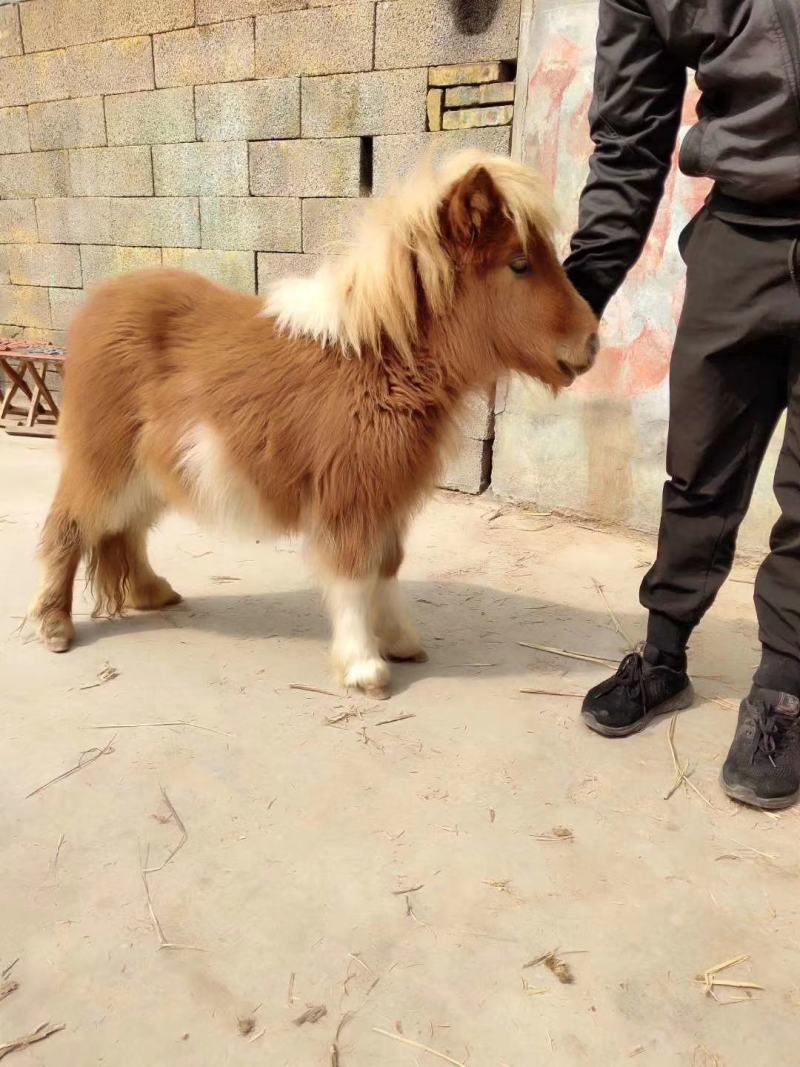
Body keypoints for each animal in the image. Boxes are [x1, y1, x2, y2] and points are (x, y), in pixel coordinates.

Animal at [30, 150, 598, 698]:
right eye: (519, 265)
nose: (590, 344)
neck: (378, 362)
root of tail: (97, 307)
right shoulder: (350, 496)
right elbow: (353, 574)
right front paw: (364, 668)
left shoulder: (387, 494)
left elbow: (387, 566)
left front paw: (400, 642)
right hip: (105, 462)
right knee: (70, 526)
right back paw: (55, 627)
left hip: (151, 471)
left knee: (124, 531)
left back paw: (152, 593)